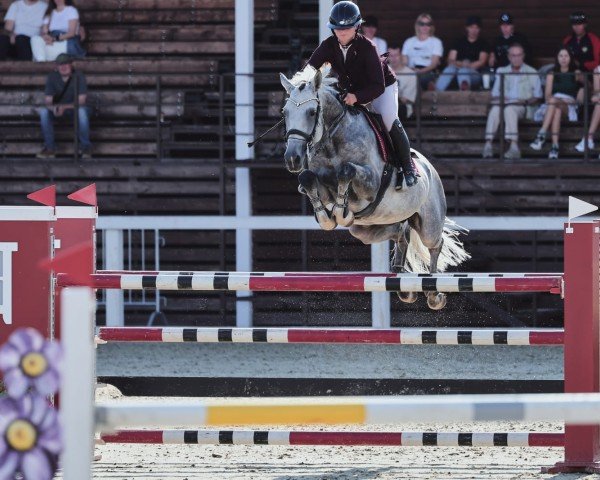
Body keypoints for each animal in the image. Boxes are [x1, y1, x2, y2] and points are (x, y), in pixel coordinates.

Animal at [278, 64, 472, 312]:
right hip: (365, 229)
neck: (333, 139)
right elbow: (308, 178)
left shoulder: (370, 185)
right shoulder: (322, 186)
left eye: (312, 112)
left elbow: (347, 171)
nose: (292, 159)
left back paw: (433, 293)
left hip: (429, 222)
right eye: (285, 113)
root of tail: (430, 169)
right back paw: (402, 281)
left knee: (435, 244)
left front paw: (340, 210)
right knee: (401, 233)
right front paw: (327, 216)